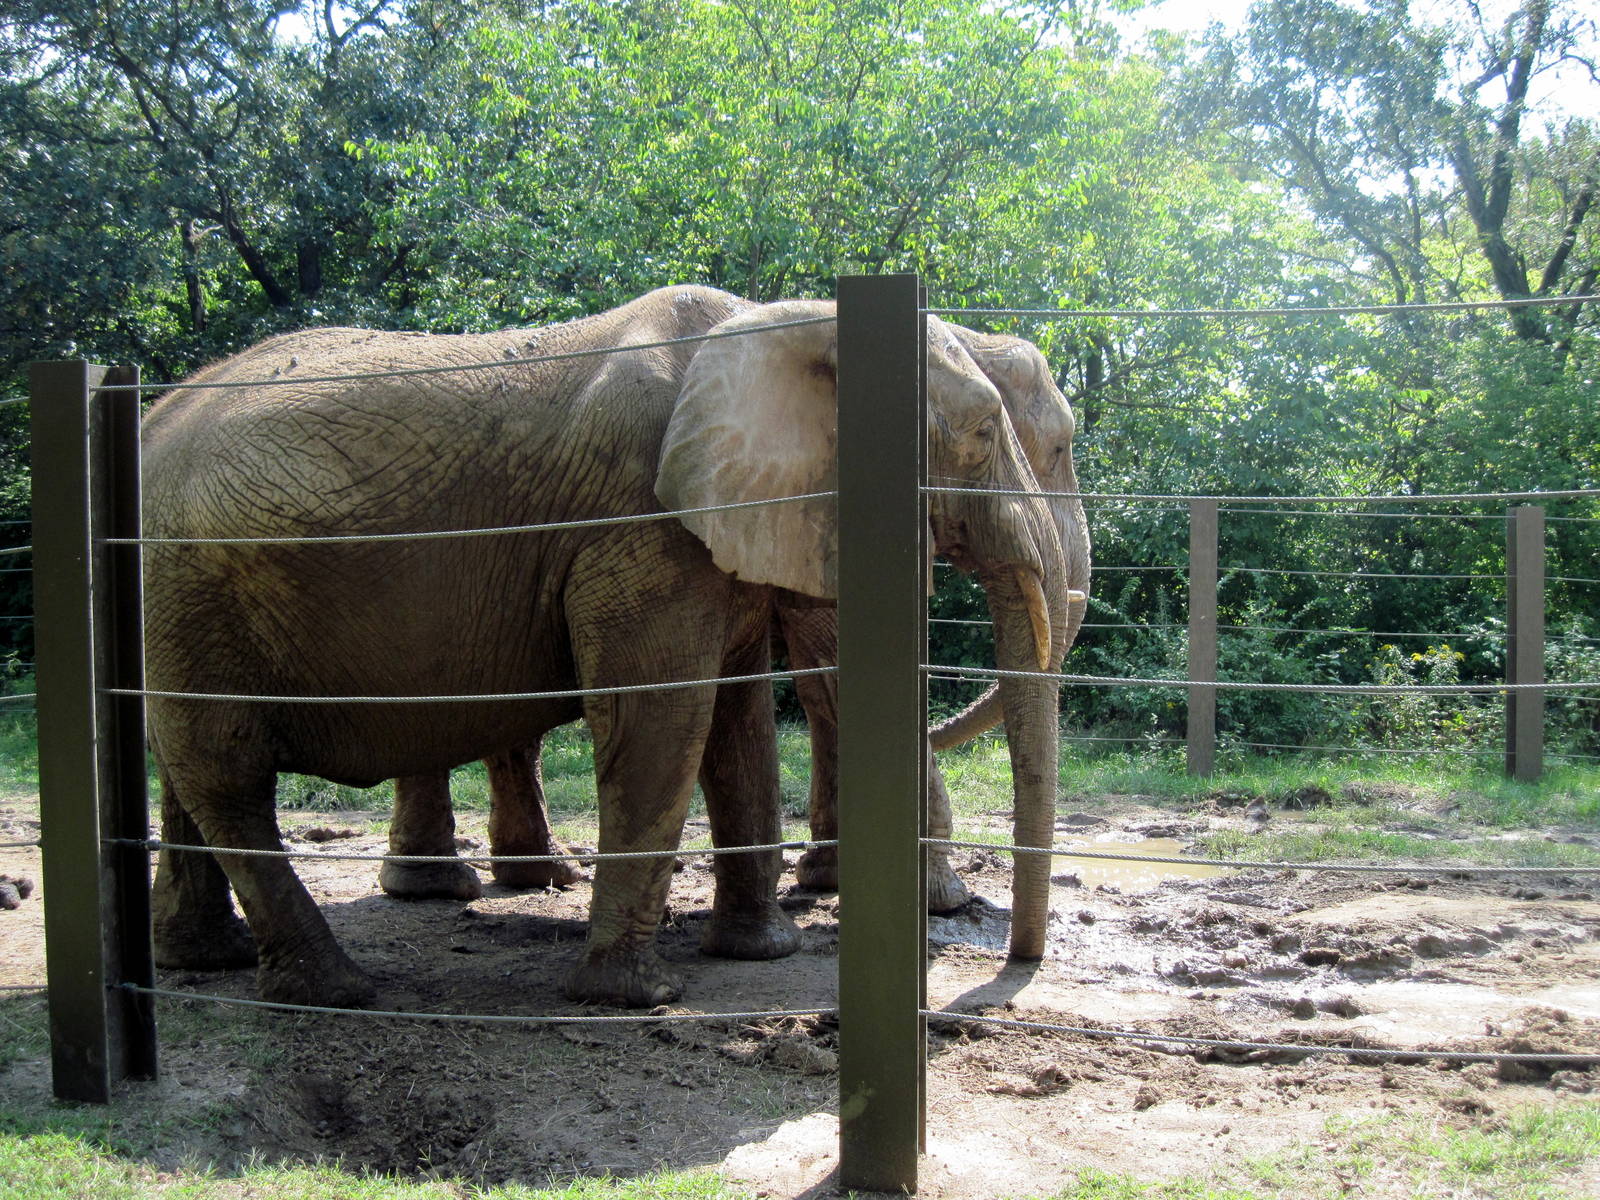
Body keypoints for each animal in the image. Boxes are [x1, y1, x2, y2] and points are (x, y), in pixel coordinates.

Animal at [379, 325, 1091, 915]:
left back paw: (528, 878)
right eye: (1055, 448)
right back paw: (447, 885)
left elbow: (824, 683)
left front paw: (829, 881)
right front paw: (940, 898)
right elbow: (836, 673)